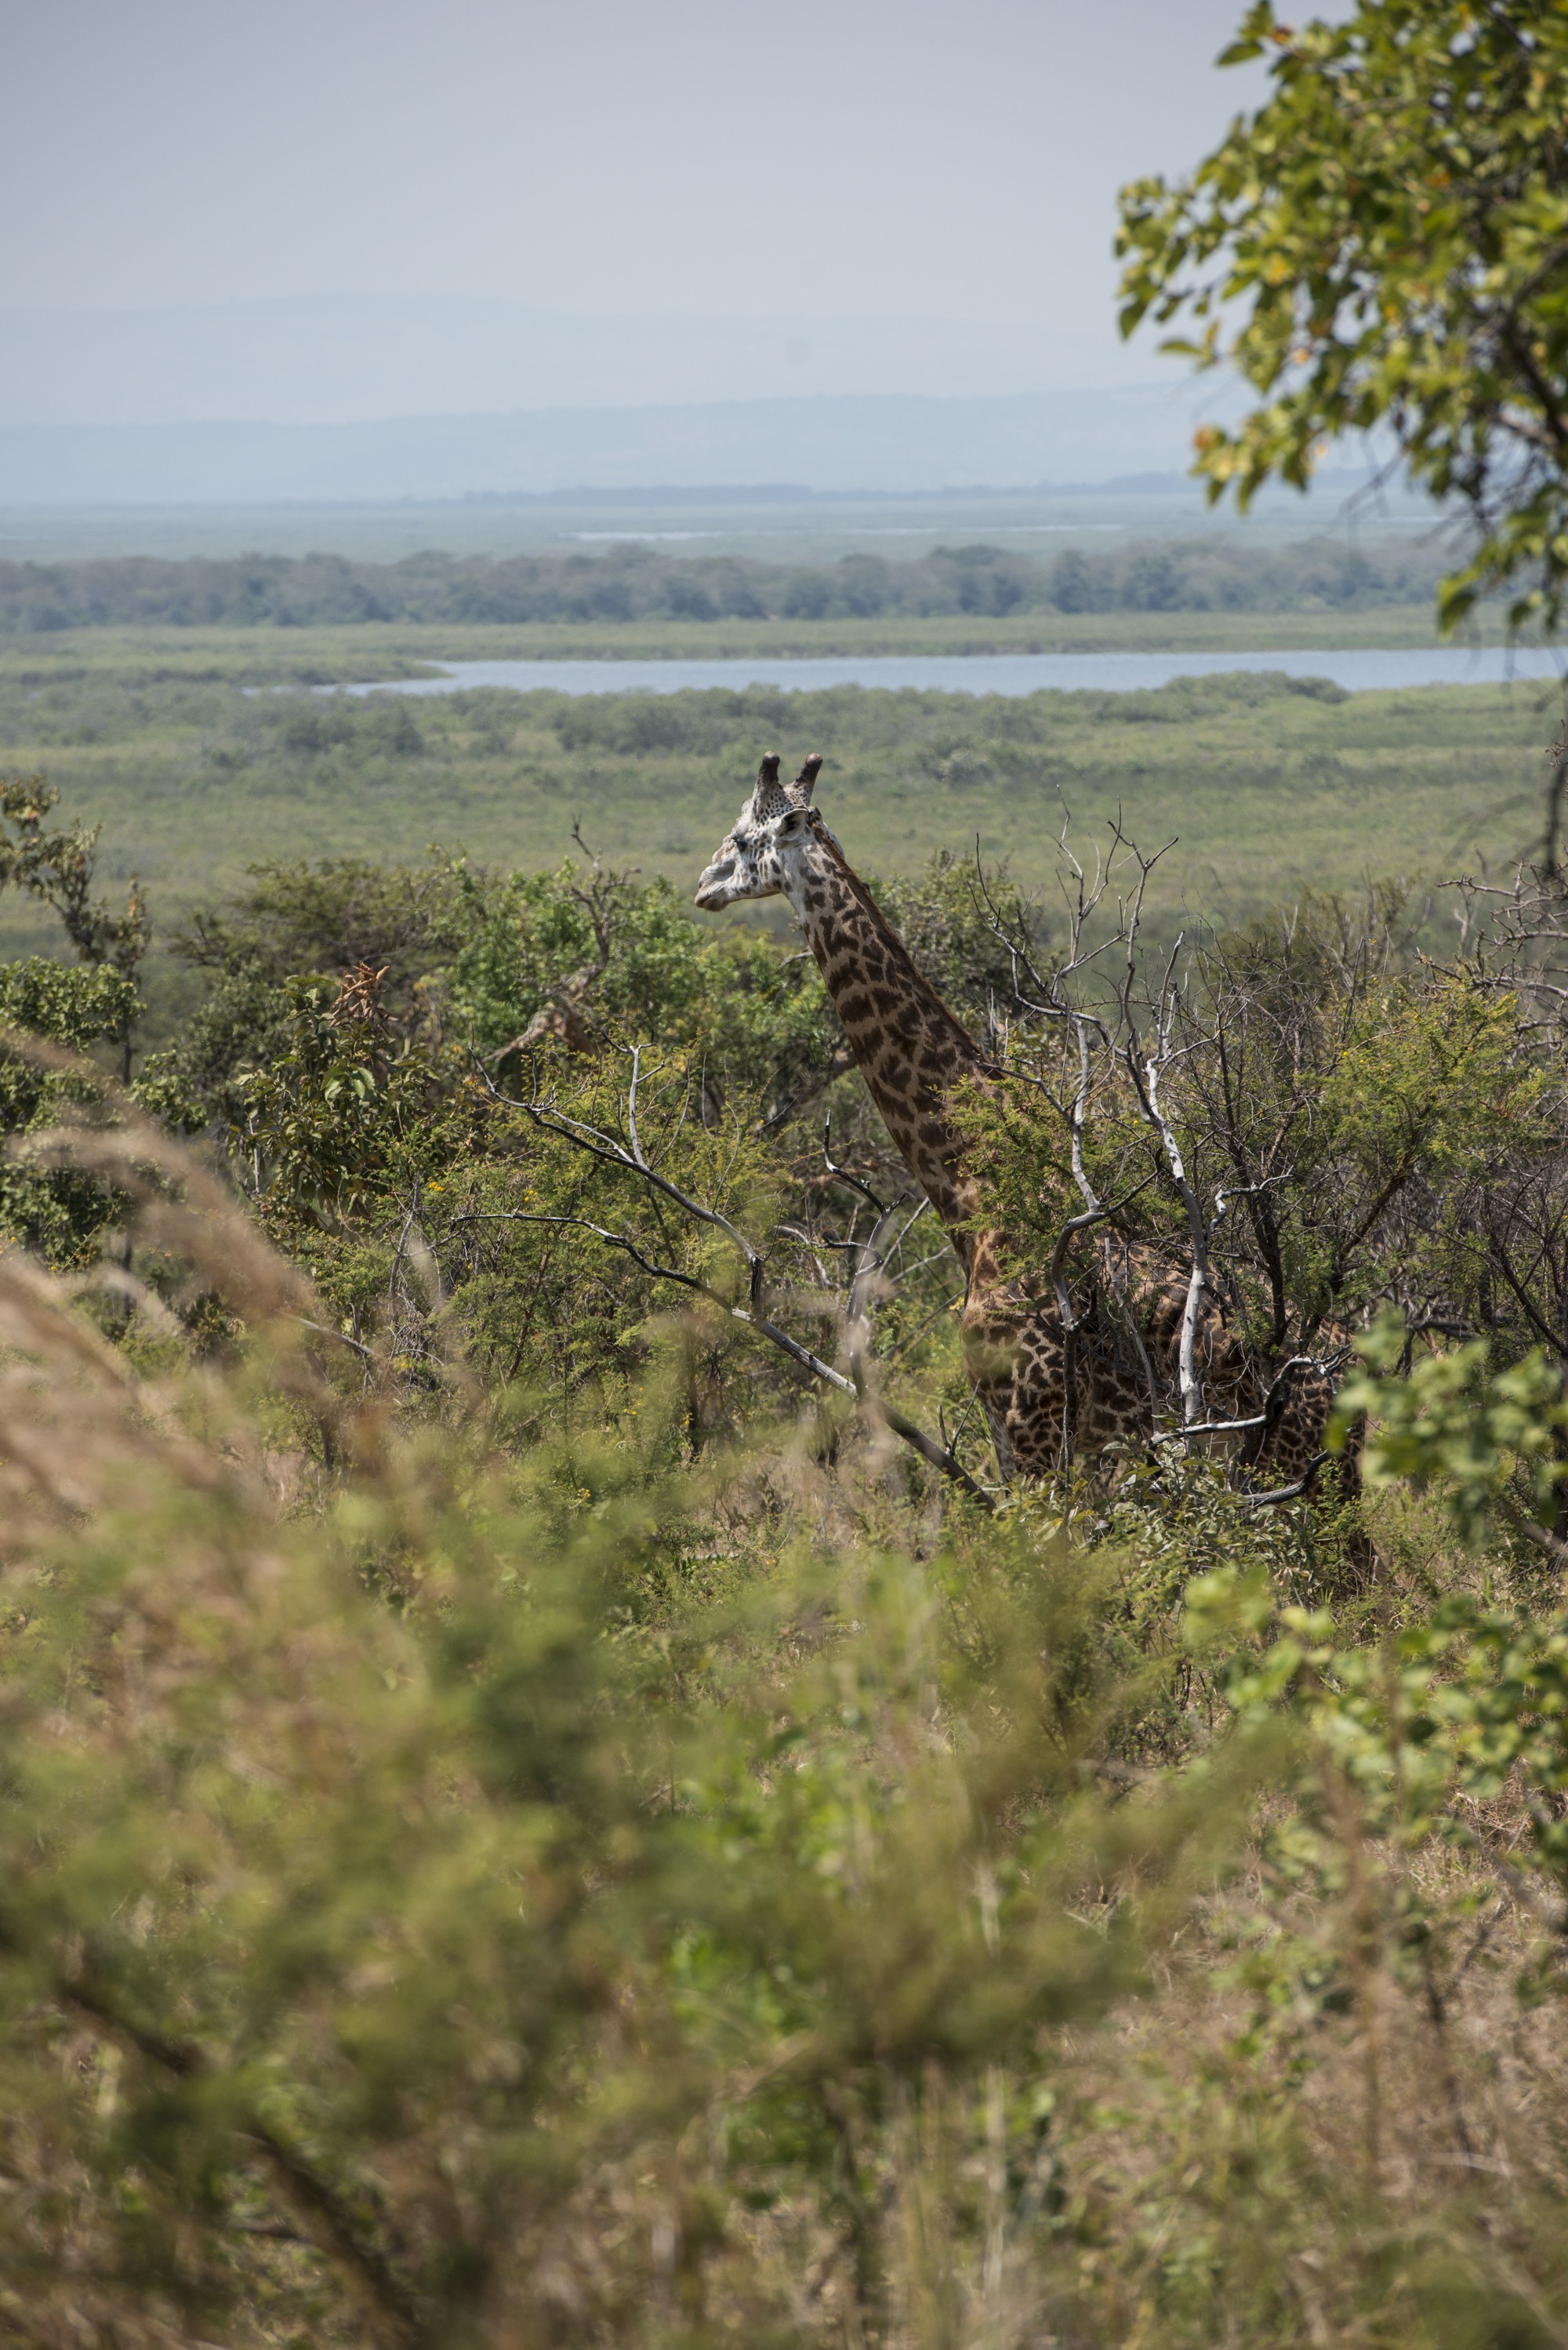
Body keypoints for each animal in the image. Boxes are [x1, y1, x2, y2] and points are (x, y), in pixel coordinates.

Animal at [691, 752, 1345, 1485]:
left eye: (743, 837)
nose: (703, 884)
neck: (975, 1186)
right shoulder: (1020, 1437)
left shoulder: (1032, 1427)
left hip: (1289, 1465)